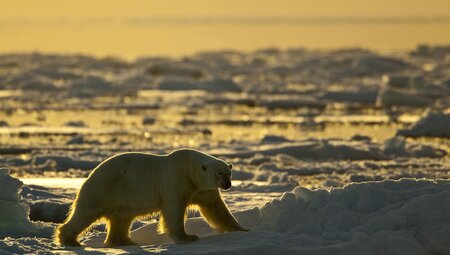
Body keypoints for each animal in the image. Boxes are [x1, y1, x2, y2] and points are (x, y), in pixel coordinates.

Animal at [55, 148, 250, 246]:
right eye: (219, 174)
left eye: (229, 173)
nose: (227, 185)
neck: (188, 168)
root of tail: (90, 176)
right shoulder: (175, 180)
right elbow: (174, 210)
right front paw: (188, 237)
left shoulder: (203, 190)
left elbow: (217, 209)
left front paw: (242, 229)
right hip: (103, 189)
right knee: (85, 214)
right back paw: (69, 240)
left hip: (122, 198)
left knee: (122, 219)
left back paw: (126, 241)